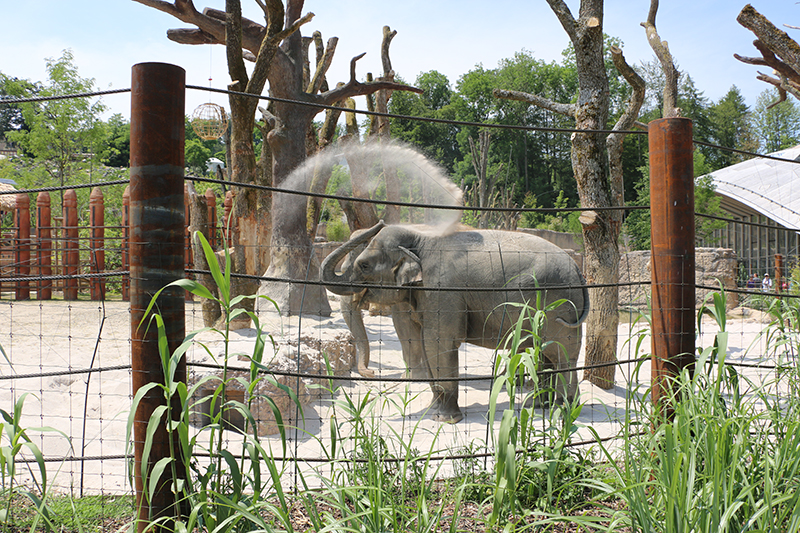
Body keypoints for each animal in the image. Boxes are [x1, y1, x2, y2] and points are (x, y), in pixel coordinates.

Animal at [320, 221, 590, 423]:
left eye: (364, 265)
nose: (373, 373)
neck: (420, 238)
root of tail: (578, 269)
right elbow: (425, 341)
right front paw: (433, 409)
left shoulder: (443, 291)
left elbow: (439, 342)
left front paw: (446, 419)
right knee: (545, 353)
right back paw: (539, 404)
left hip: (558, 305)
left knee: (561, 354)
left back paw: (565, 413)